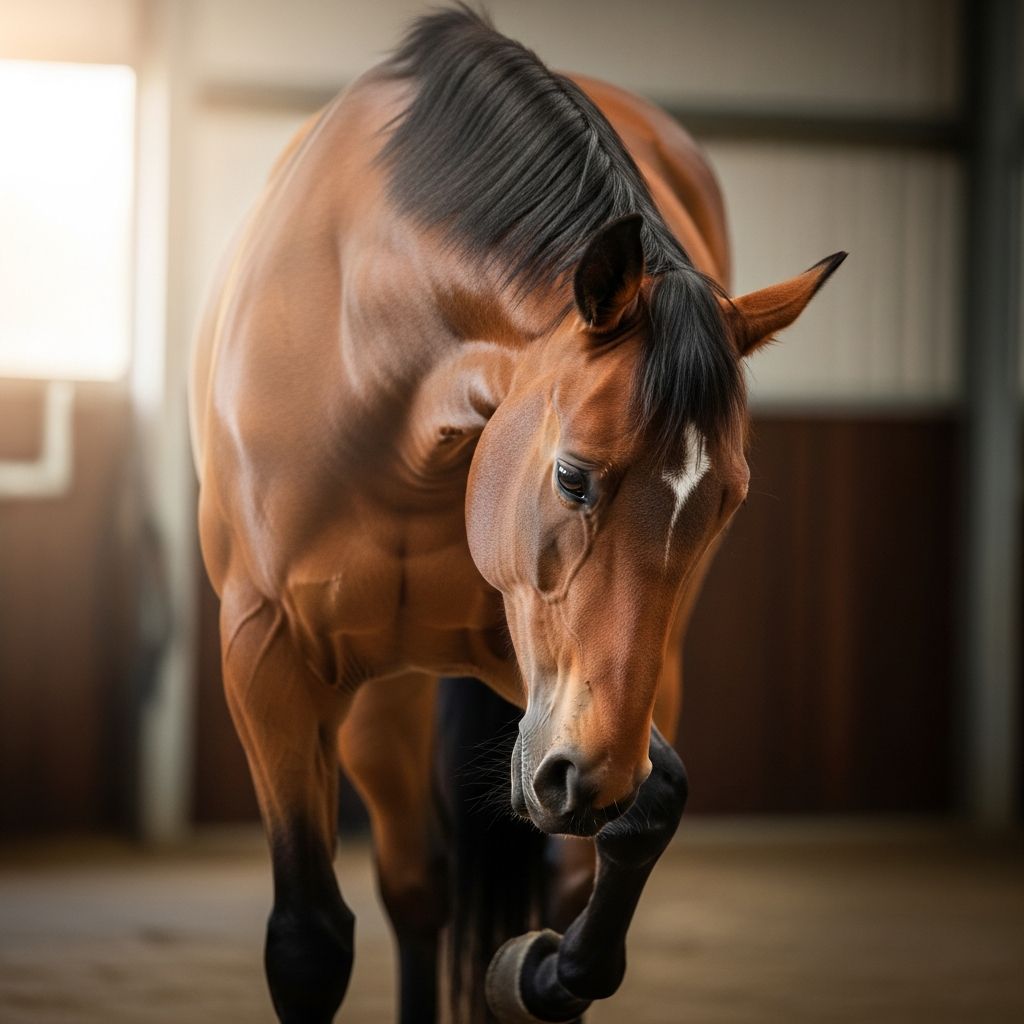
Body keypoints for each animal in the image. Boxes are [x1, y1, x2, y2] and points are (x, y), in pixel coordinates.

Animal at [189, 8, 844, 1023]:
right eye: (573, 477)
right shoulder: (267, 656)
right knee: (415, 885)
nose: (587, 776)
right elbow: (308, 942)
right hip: (387, 697)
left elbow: (653, 806)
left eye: (727, 502)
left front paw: (541, 970)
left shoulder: (542, 673)